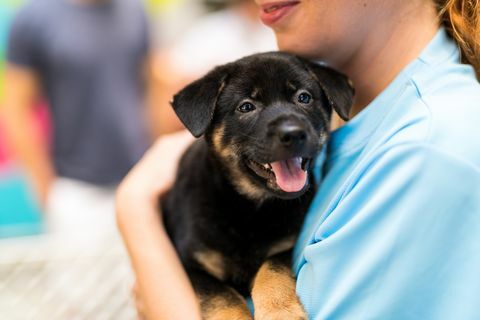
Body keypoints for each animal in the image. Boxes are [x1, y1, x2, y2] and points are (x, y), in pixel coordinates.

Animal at [161, 51, 352, 318]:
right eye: (246, 107)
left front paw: (280, 311)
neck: (250, 207)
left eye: (304, 97)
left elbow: (271, 271)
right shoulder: (191, 265)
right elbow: (222, 299)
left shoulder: (284, 248)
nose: (293, 133)